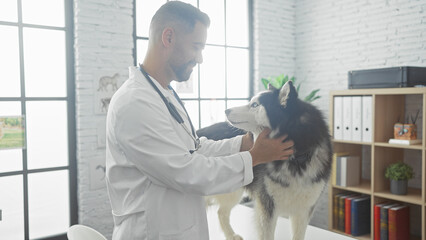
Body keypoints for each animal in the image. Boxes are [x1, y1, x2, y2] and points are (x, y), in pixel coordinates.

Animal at [200, 81, 332, 240]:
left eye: (255, 105)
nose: (226, 110)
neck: (296, 158)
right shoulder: (267, 206)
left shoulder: (304, 210)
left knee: (221, 212)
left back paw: (231, 235)